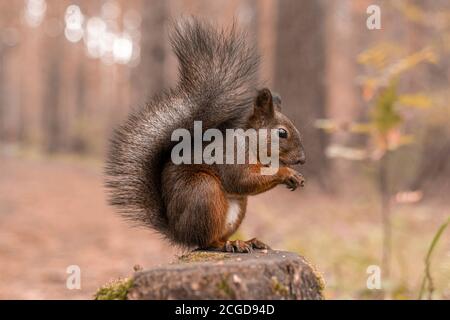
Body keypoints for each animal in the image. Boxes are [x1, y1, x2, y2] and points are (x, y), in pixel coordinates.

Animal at [104, 18, 306, 254]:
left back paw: (247, 241)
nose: (302, 159)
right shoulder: (231, 156)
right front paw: (287, 173)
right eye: (282, 132)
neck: (249, 142)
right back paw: (230, 244)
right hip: (204, 191)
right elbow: (243, 180)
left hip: (238, 206)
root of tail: (179, 232)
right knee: (207, 242)